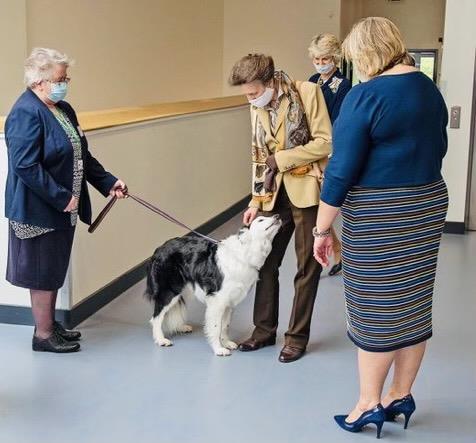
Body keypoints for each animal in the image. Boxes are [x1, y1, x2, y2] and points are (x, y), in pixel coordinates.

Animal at [143, 215, 280, 358]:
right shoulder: (217, 300)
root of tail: (159, 248)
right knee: (156, 317)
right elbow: (216, 327)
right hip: (169, 291)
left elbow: (225, 326)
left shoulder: (229, 302)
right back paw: (161, 339)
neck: (244, 253)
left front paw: (226, 343)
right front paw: (219, 349)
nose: (277, 216)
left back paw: (181, 327)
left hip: (183, 290)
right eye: (260, 220)